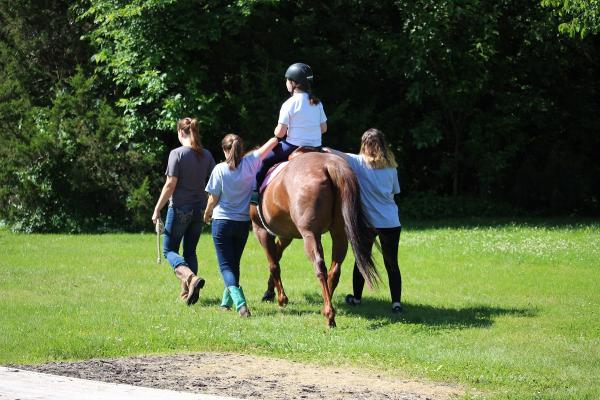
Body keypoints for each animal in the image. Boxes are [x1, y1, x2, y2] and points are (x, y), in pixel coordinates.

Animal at [251, 152, 378, 326]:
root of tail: (330, 165)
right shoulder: (286, 235)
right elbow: (277, 256)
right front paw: (270, 291)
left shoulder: (261, 230)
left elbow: (273, 264)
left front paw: (281, 298)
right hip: (340, 233)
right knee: (334, 270)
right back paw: (326, 305)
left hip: (310, 235)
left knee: (320, 267)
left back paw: (329, 314)